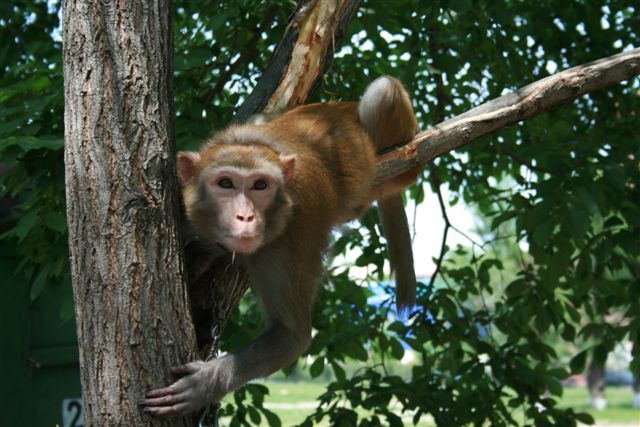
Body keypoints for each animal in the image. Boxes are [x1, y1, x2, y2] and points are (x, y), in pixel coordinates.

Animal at [139, 76, 421, 417]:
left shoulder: (291, 236)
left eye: (260, 185)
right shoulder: (183, 207)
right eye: (225, 184)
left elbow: (291, 335)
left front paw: (204, 383)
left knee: (385, 90)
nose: (245, 216)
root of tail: (345, 104)